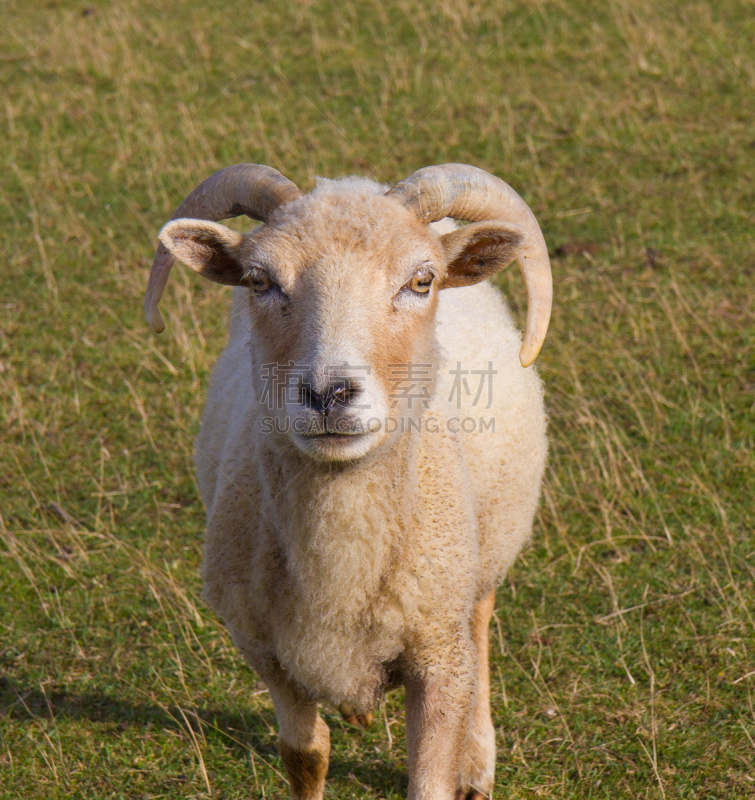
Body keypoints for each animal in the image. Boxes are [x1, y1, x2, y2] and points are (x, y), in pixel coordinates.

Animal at [146, 162, 548, 800]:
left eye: (421, 281)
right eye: (259, 280)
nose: (329, 394)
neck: (341, 564)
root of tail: (355, 179)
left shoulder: (439, 653)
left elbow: (429, 780)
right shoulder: (267, 651)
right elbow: (305, 754)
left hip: (484, 550)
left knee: (481, 619)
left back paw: (477, 762)